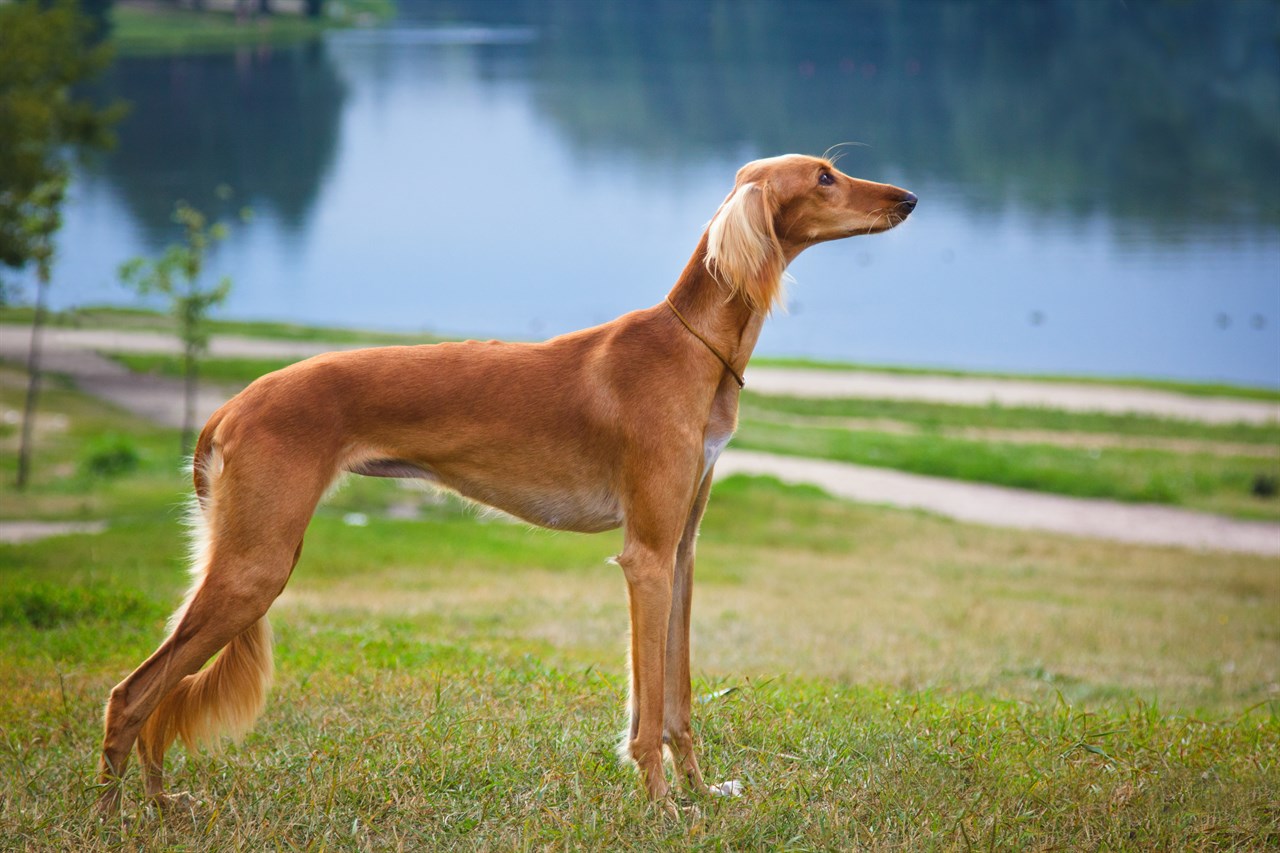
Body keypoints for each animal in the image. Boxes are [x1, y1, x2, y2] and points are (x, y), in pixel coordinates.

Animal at [94, 153, 916, 809]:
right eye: (824, 176)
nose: (908, 198)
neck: (692, 349)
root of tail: (230, 404)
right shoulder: (645, 557)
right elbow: (649, 706)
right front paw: (659, 803)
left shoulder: (681, 551)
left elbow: (678, 697)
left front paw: (700, 791)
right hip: (256, 566)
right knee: (132, 692)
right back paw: (114, 813)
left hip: (245, 562)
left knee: (159, 695)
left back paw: (160, 804)